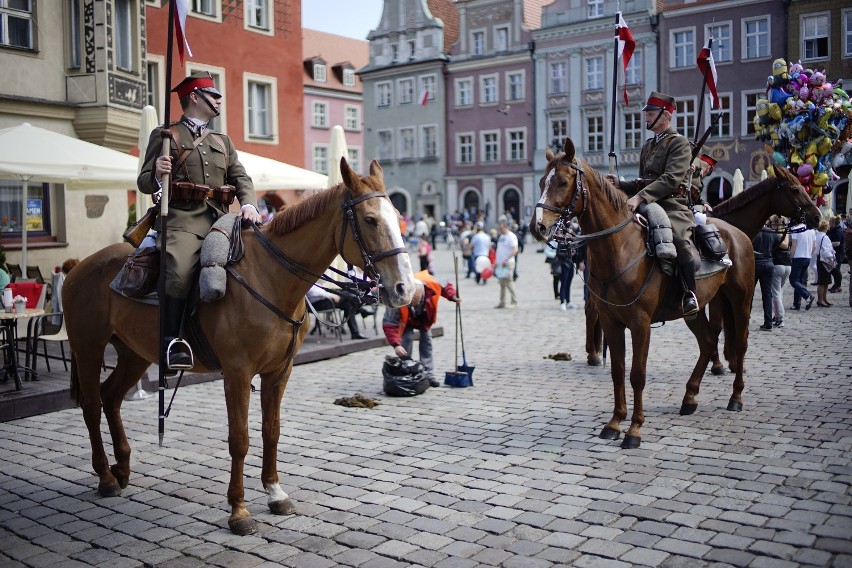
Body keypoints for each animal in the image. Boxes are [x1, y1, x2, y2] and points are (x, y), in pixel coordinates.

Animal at [63, 158, 416, 536]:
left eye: (397, 215)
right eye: (370, 219)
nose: (405, 289)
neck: (272, 278)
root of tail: (78, 266)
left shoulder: (279, 372)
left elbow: (271, 431)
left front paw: (275, 492)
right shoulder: (236, 373)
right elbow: (240, 439)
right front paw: (239, 510)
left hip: (135, 354)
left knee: (111, 397)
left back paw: (123, 468)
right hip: (89, 348)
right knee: (91, 405)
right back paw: (105, 475)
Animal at [528, 139, 756, 448]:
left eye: (563, 182)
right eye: (542, 181)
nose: (536, 227)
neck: (620, 248)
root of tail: (739, 234)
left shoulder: (640, 323)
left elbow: (637, 374)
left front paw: (634, 429)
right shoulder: (611, 322)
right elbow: (617, 371)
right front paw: (614, 423)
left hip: (741, 299)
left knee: (740, 345)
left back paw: (736, 397)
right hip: (694, 311)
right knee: (708, 342)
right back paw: (689, 397)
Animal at [584, 163, 824, 372]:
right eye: (795, 189)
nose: (817, 217)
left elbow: (723, 325)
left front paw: (728, 360)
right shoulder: (718, 294)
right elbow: (720, 325)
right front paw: (720, 363)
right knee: (592, 312)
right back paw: (595, 355)